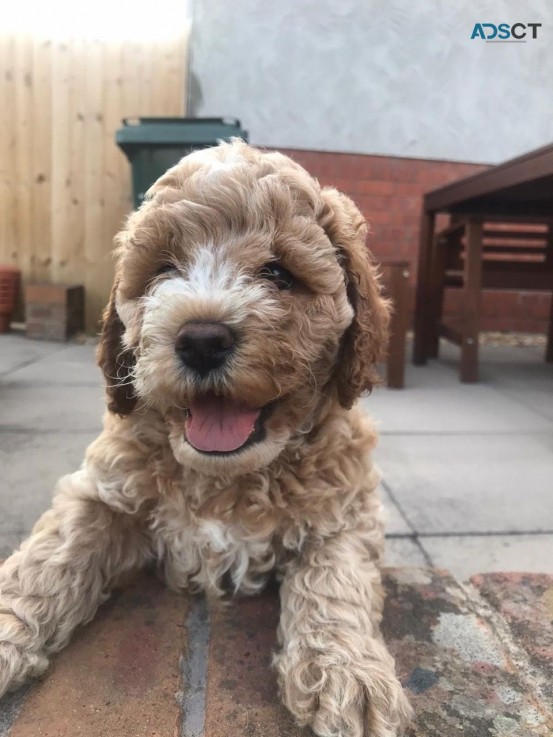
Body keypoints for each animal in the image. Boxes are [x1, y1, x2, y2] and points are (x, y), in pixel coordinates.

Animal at [0, 141, 410, 732]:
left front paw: (350, 675)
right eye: (164, 270)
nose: (200, 339)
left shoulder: (346, 511)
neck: (227, 475)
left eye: (279, 273)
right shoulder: (102, 491)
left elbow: (337, 579)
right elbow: (49, 556)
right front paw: (8, 629)